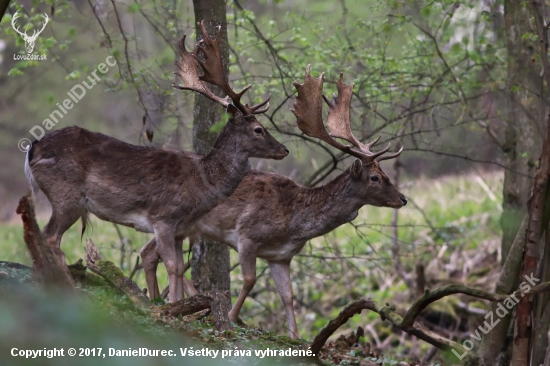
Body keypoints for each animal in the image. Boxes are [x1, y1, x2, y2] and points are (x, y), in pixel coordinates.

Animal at [25, 21, 292, 304]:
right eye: (258, 129)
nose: (284, 150)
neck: (200, 184)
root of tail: (33, 148)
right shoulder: (162, 218)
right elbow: (173, 266)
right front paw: (172, 306)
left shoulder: (180, 228)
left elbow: (176, 267)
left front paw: (176, 304)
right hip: (66, 195)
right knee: (50, 237)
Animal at [141, 66, 410, 338]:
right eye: (375, 177)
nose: (403, 199)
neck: (293, 223)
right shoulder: (246, 235)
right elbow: (250, 280)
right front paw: (231, 317)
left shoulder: (280, 256)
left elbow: (288, 296)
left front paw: (296, 336)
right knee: (157, 254)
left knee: (148, 253)